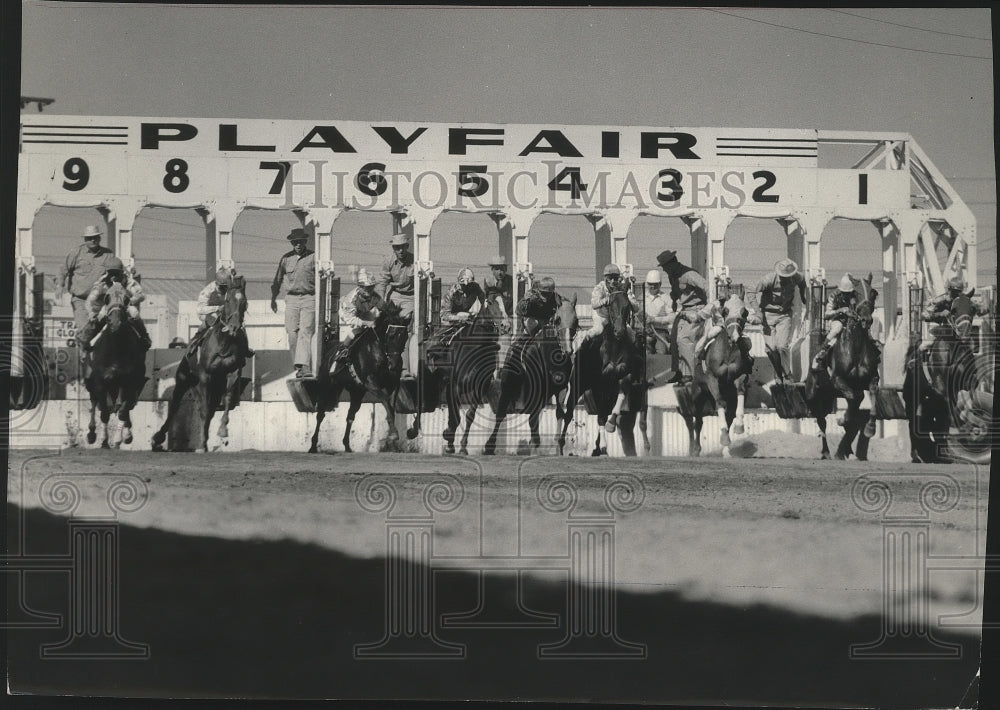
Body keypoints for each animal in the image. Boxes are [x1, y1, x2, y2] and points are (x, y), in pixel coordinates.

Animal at [84, 284, 147, 450]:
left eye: (126, 299)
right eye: (106, 298)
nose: (115, 323)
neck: (116, 349)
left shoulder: (130, 383)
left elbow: (123, 411)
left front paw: (120, 438)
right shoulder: (100, 382)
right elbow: (104, 412)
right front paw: (104, 440)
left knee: (123, 407)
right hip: (91, 383)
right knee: (95, 404)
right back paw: (91, 434)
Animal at [154, 276, 252, 450]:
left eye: (244, 302)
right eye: (227, 300)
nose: (234, 326)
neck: (224, 343)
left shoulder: (232, 373)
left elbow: (227, 401)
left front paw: (222, 430)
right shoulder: (206, 376)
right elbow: (204, 410)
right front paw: (201, 444)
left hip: (213, 386)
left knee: (209, 409)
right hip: (184, 379)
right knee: (176, 405)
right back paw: (159, 437)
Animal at [308, 298, 410, 454]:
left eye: (405, 337)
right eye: (391, 335)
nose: (395, 364)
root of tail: (329, 350)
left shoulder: (393, 383)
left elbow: (391, 405)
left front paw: (391, 440)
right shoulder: (371, 383)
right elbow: (385, 400)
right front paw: (393, 435)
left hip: (356, 391)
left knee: (350, 416)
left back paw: (347, 445)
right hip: (328, 387)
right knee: (320, 414)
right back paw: (313, 446)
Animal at [808, 272, 880, 462]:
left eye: (873, 293)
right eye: (856, 293)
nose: (866, 320)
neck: (856, 349)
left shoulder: (872, 379)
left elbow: (870, 400)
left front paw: (870, 428)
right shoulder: (838, 380)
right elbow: (852, 400)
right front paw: (842, 419)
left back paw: (843, 449)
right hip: (816, 395)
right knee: (822, 421)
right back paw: (827, 452)